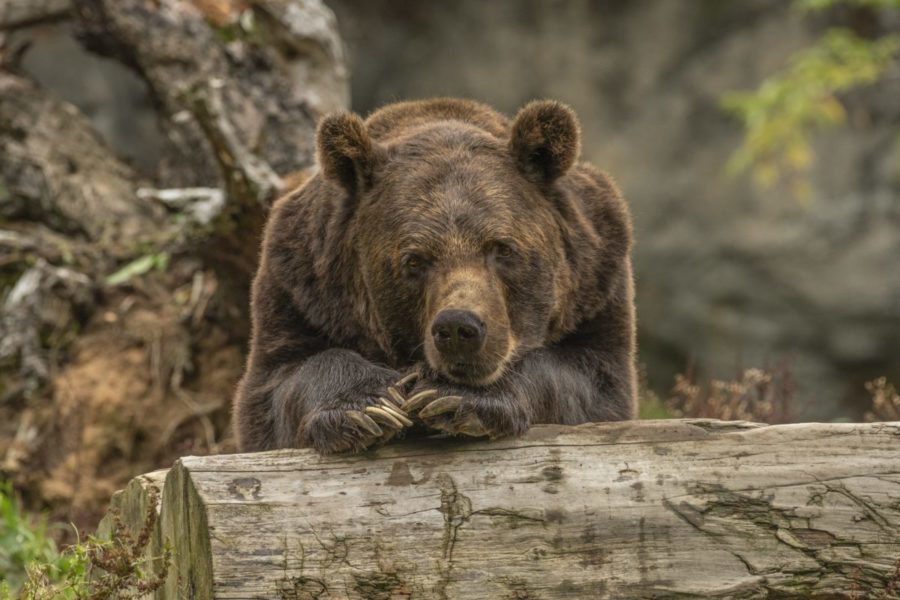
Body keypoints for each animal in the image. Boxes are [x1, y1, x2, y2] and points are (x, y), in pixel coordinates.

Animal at [234, 98, 640, 452]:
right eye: (415, 260)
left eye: (502, 248)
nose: (459, 328)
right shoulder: (301, 287)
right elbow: (278, 385)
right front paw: (370, 406)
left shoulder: (596, 282)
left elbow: (590, 381)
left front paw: (453, 397)